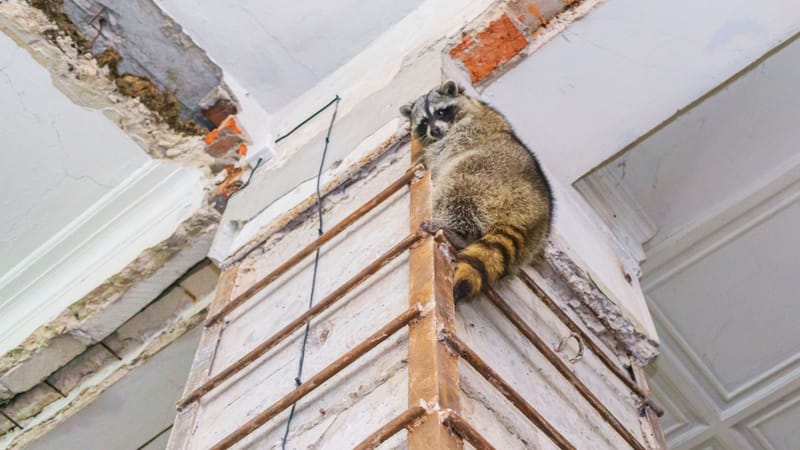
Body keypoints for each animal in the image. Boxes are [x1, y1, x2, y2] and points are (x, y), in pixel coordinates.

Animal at [400, 80, 553, 301]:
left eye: (441, 112)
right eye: (424, 122)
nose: (434, 130)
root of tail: (534, 215)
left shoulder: (469, 128)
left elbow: (443, 151)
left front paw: (424, 159)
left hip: (487, 175)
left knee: (457, 187)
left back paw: (460, 233)